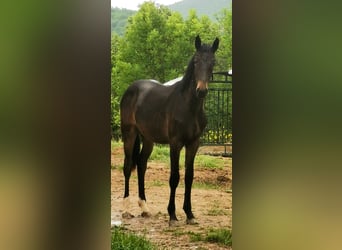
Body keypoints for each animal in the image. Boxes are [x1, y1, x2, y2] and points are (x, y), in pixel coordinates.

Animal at [120, 35, 219, 227]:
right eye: (196, 61)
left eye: (213, 62)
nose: (201, 91)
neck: (189, 107)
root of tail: (131, 88)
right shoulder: (175, 143)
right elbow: (174, 177)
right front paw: (172, 215)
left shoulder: (193, 143)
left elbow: (189, 177)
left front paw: (189, 214)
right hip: (129, 133)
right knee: (128, 166)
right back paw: (126, 208)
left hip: (148, 138)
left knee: (141, 165)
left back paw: (144, 208)